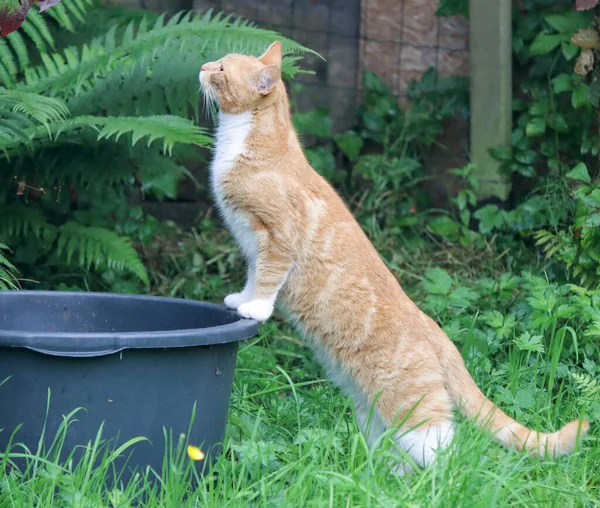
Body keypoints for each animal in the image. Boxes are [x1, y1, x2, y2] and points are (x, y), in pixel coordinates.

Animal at [199, 41, 588, 474]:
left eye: (221, 69)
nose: (202, 66)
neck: (249, 142)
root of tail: (439, 335)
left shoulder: (277, 237)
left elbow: (268, 278)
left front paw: (257, 309)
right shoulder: (254, 244)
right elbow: (254, 275)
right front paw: (241, 299)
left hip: (413, 411)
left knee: (445, 451)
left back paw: (434, 482)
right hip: (373, 413)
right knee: (394, 452)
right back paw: (383, 478)